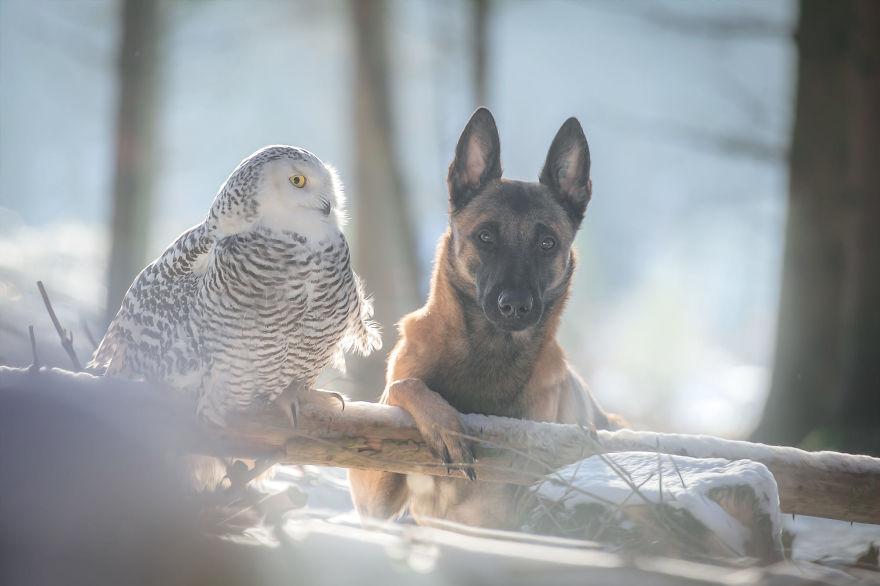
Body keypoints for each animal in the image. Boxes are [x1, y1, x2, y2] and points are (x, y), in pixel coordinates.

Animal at [348, 107, 624, 528]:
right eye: (486, 236)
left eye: (547, 243)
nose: (514, 305)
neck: (488, 350)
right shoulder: (373, 496)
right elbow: (403, 385)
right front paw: (445, 425)